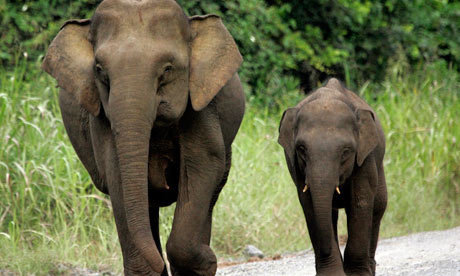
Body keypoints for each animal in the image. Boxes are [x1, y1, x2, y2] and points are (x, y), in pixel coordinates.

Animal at [42, 1, 244, 274]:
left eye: (168, 69)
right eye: (100, 71)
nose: (212, 256)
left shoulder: (203, 106)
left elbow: (203, 164)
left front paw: (205, 260)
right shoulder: (101, 118)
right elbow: (117, 175)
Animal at [278, 78, 386, 276]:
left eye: (346, 151)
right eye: (301, 149)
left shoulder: (365, 158)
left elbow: (361, 203)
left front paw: (356, 274)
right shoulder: (295, 166)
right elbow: (310, 206)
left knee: (378, 208)